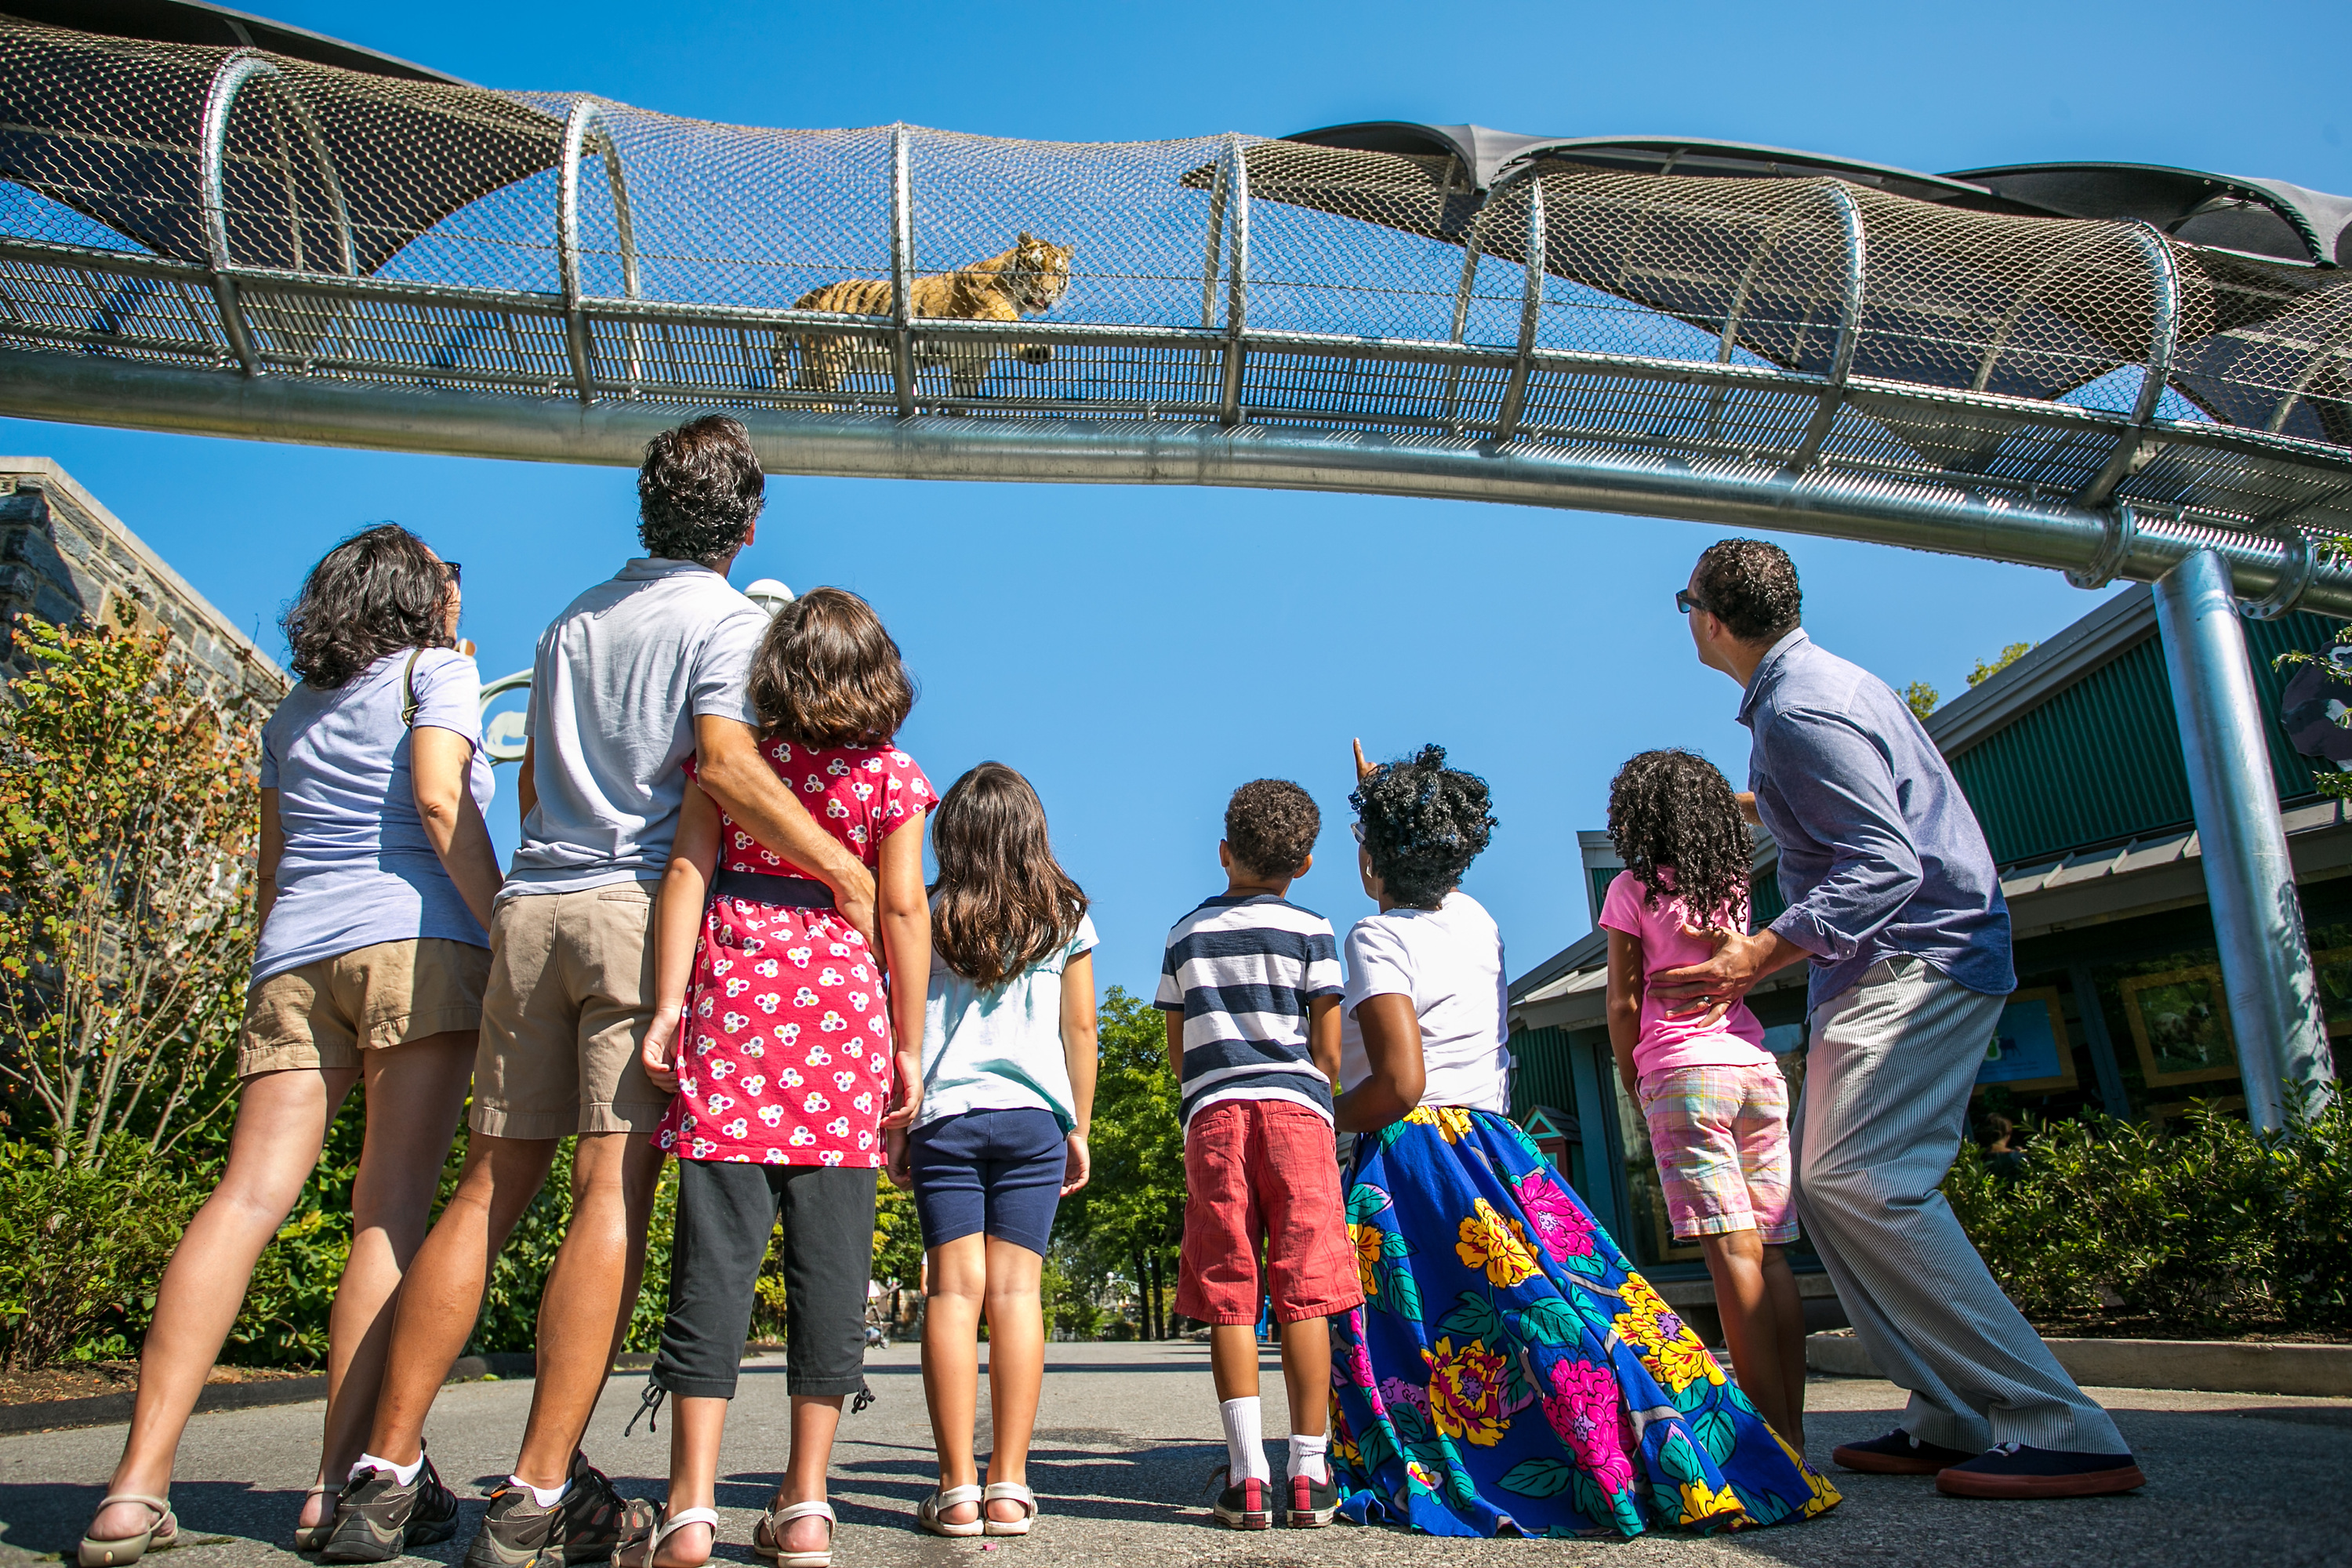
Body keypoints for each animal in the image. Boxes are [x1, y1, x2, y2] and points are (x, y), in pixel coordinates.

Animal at [786, 230, 1077, 411]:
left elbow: (964, 389)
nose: (1047, 291)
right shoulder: (986, 297)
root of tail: (806, 298)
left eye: (1057, 272)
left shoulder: (971, 360)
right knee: (816, 393)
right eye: (1036, 268)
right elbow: (1010, 318)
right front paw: (1037, 350)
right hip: (830, 354)